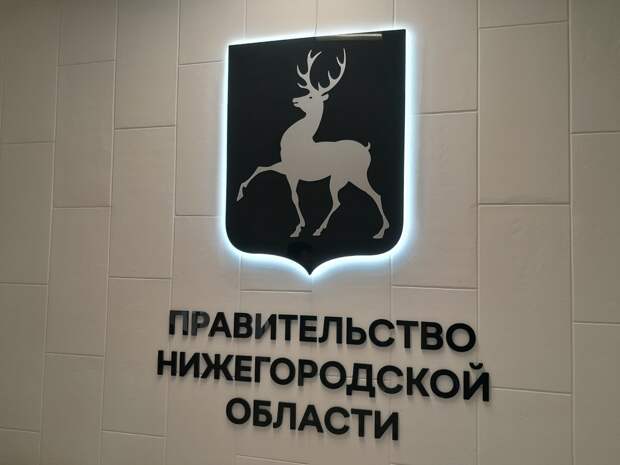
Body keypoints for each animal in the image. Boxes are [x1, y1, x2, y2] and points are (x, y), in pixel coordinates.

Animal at [236, 48, 390, 239]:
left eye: (310, 96)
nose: (295, 100)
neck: (298, 140)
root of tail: (367, 150)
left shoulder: (293, 172)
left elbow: (294, 197)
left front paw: (298, 228)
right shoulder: (284, 166)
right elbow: (261, 167)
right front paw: (239, 193)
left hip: (348, 175)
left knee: (349, 199)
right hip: (349, 177)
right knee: (369, 196)